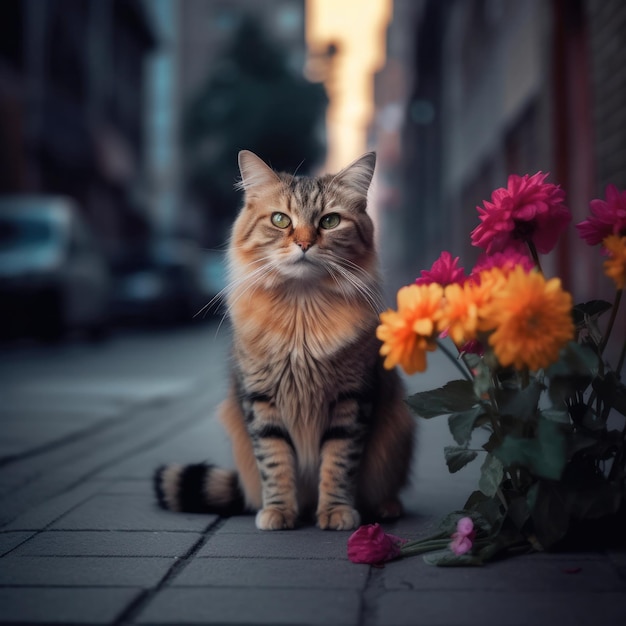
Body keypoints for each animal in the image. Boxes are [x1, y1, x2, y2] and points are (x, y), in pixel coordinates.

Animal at [153, 150, 412, 528]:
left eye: (330, 221)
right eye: (280, 220)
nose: (304, 243)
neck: (300, 315)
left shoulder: (351, 400)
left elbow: (338, 464)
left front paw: (335, 511)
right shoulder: (261, 401)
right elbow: (275, 463)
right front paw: (278, 511)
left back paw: (385, 507)